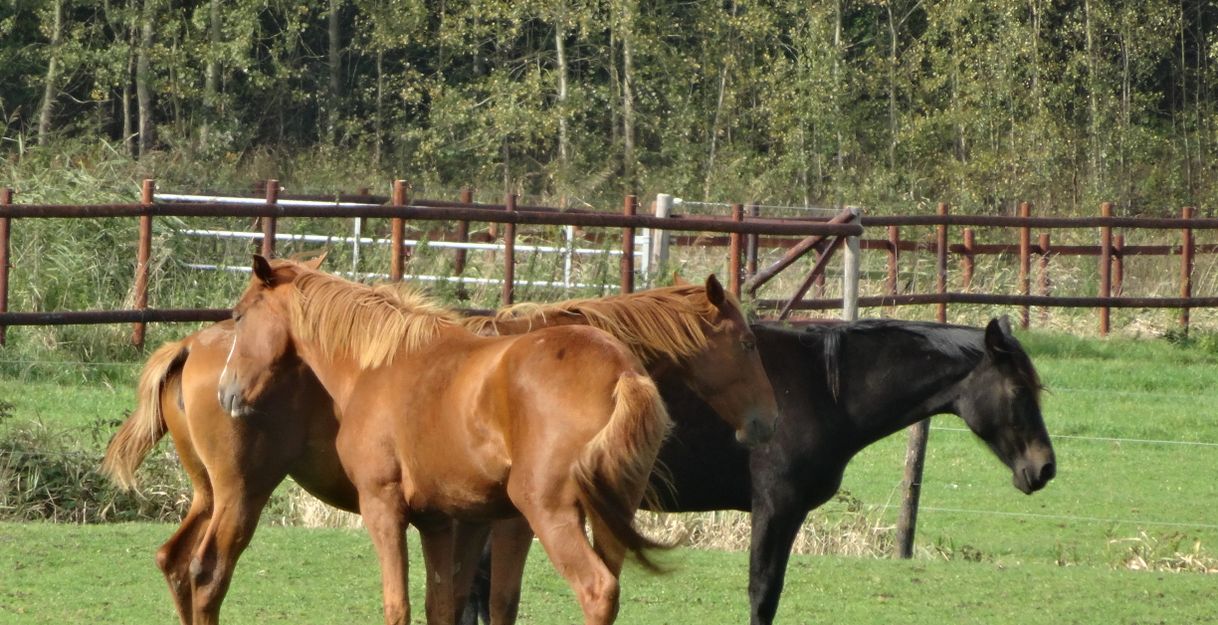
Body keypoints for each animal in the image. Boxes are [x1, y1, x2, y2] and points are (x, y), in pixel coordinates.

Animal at [102, 260, 779, 625]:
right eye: (747, 343)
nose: (767, 422)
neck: (375, 364)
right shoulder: (457, 520)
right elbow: (447, 606)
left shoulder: (421, 514)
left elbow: (432, 605)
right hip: (229, 493)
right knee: (193, 569)